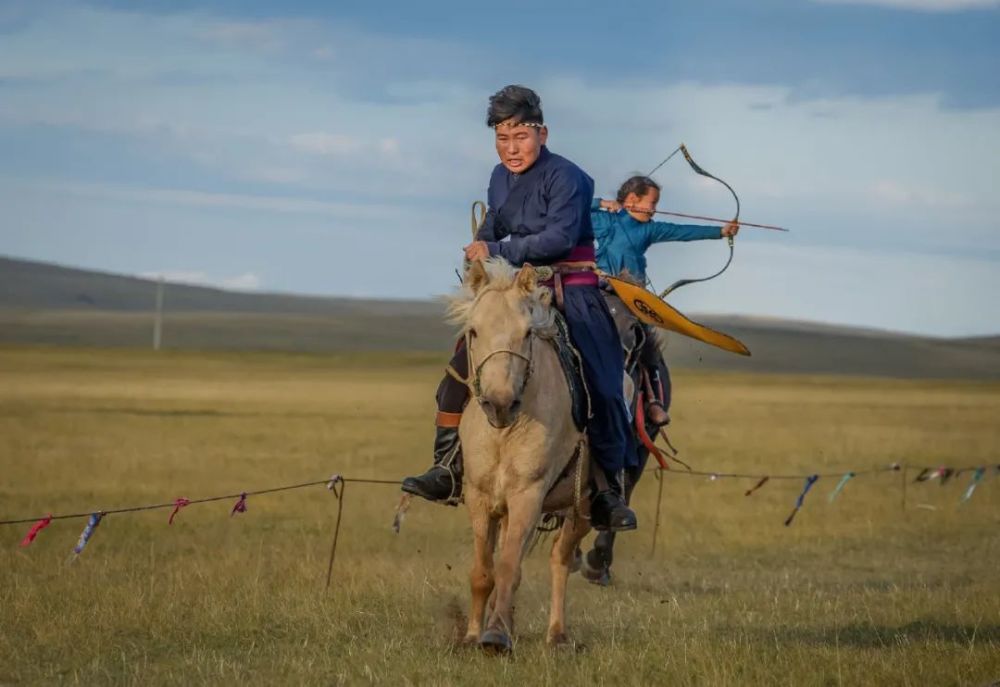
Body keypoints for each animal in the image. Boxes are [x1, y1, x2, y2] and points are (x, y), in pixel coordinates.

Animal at [452, 260, 592, 656]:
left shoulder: (527, 495)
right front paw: (473, 635)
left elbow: (508, 567)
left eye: (528, 332)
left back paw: (556, 634)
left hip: (583, 505)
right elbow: (483, 571)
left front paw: (496, 635)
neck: (504, 432)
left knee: (560, 559)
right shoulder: (480, 496)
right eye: (473, 330)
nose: (499, 403)